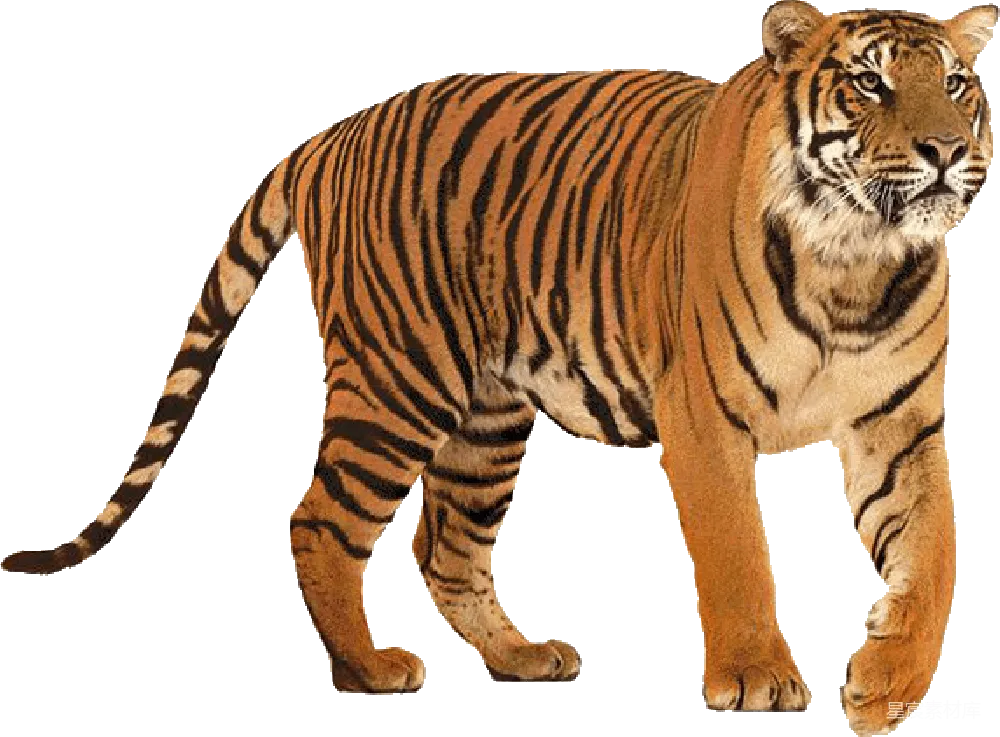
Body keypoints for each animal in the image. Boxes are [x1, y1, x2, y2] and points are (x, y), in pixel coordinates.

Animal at [2, 2, 993, 733]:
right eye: (869, 83)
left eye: (954, 84)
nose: (946, 150)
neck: (857, 260)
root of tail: (330, 134)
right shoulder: (703, 416)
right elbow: (737, 550)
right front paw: (756, 675)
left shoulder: (900, 424)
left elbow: (934, 551)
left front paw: (887, 683)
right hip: (397, 381)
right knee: (319, 519)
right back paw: (368, 668)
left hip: (484, 415)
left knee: (444, 546)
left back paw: (521, 658)